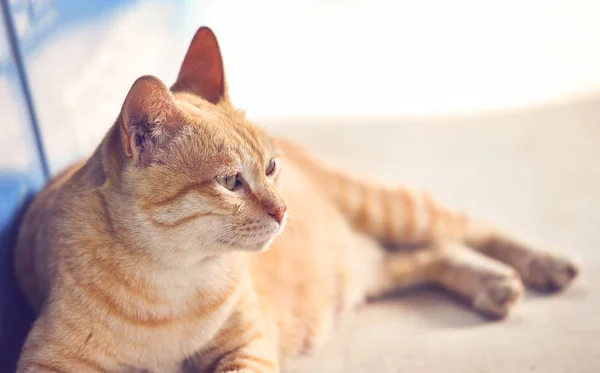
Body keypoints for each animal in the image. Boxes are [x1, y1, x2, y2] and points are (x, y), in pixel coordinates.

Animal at [12, 26, 576, 372]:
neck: (172, 286)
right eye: (230, 182)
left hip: (392, 210)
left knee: (469, 229)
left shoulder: (248, 346)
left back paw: (541, 266)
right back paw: (493, 286)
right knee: (422, 257)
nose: (284, 211)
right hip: (362, 267)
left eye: (270, 168)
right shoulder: (47, 362)